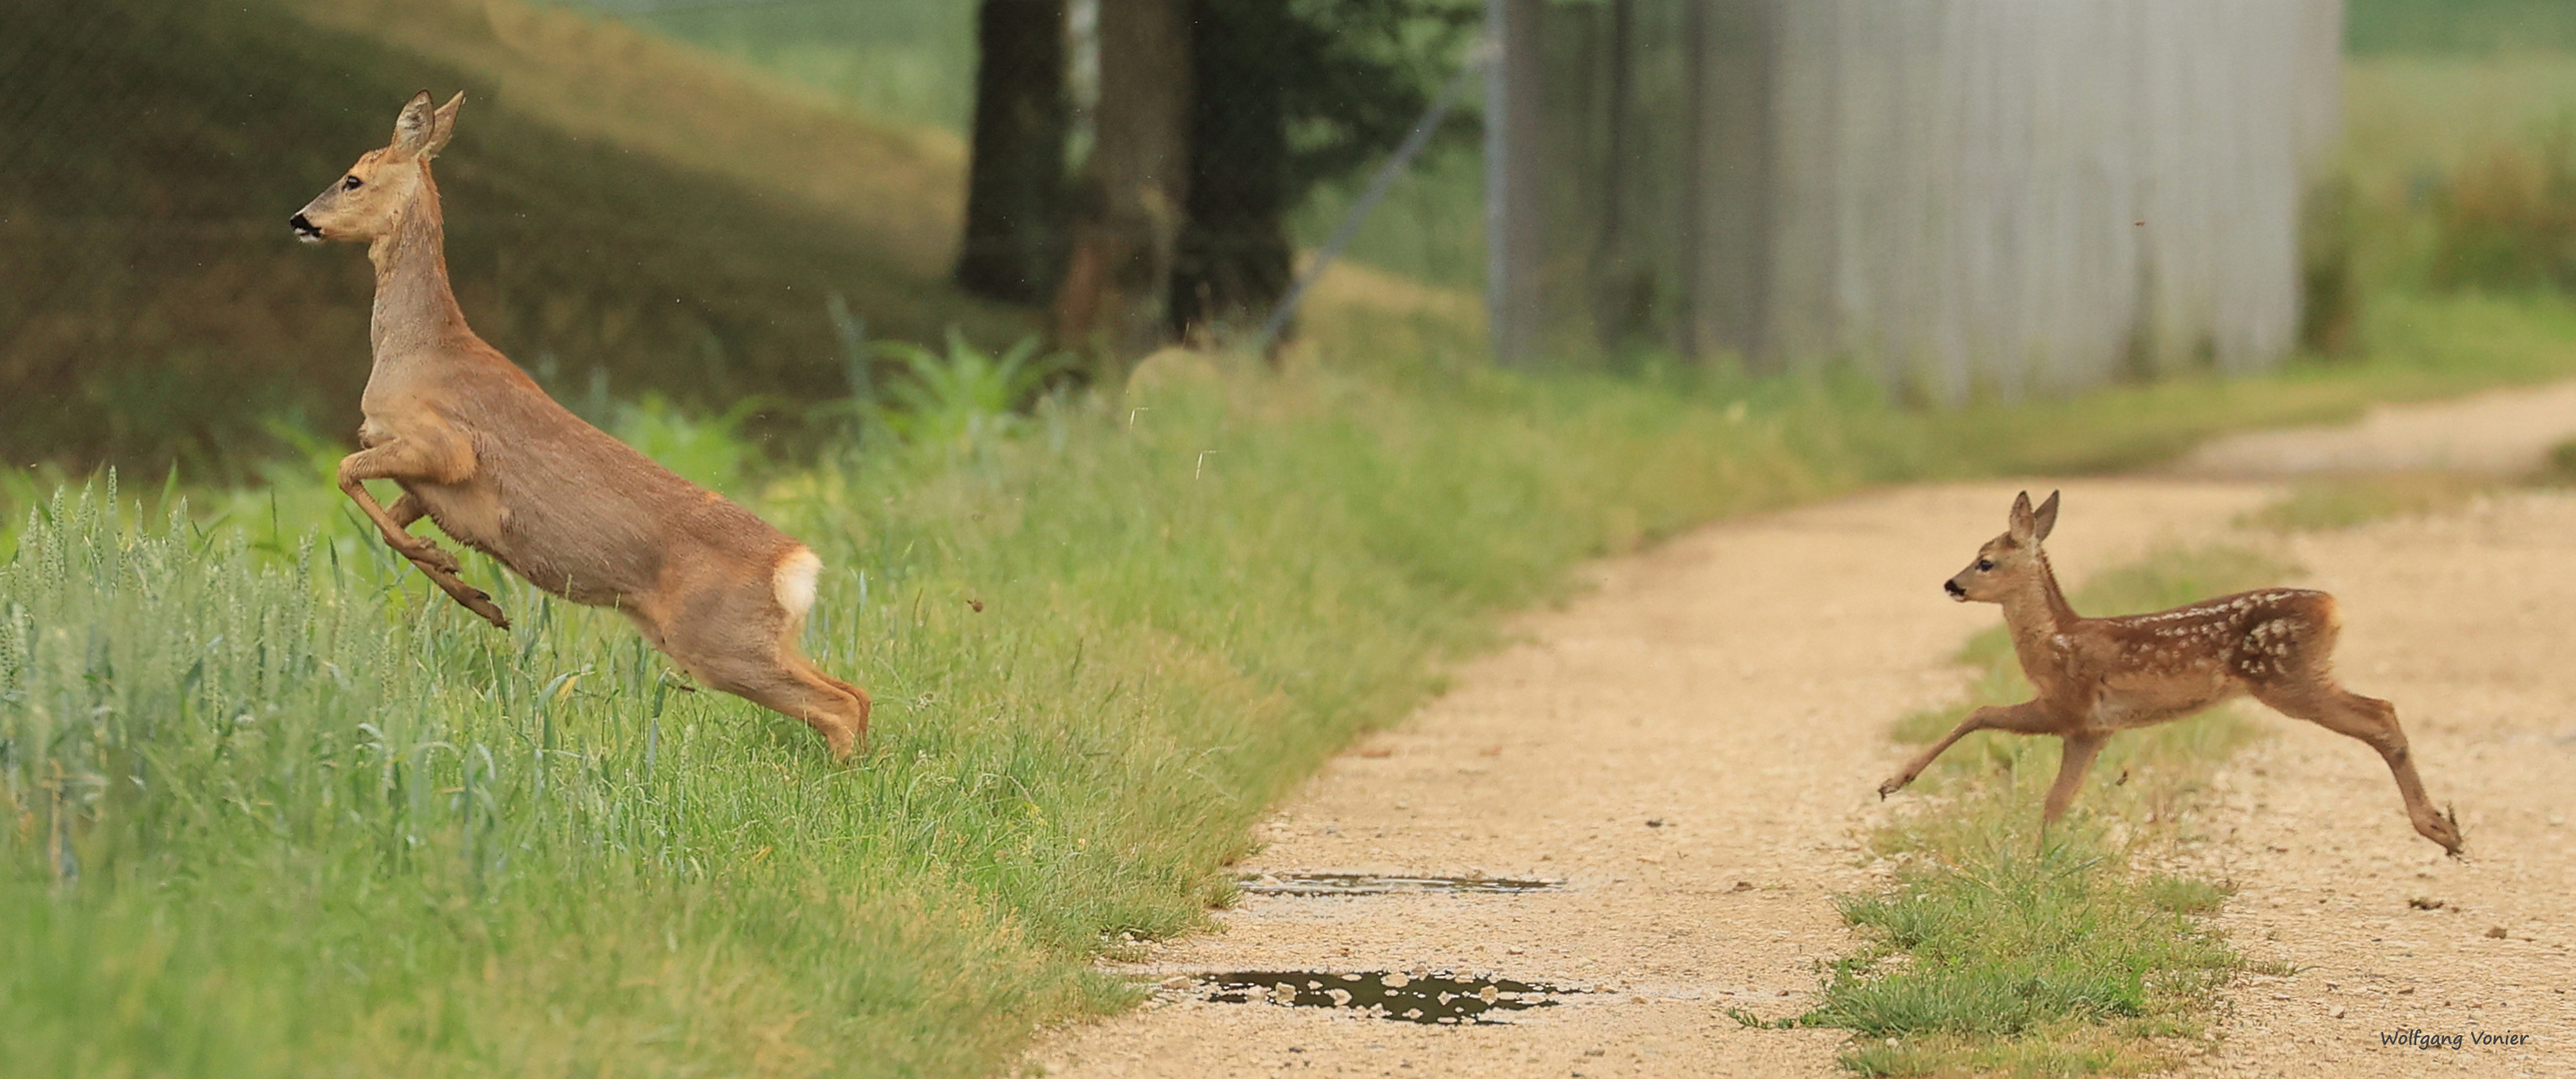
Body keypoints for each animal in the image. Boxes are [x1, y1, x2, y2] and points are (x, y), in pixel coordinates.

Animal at [295, 97, 865, 761]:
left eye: (352, 179)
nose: (300, 219)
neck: (417, 346)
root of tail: (797, 567)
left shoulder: (447, 448)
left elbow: (347, 475)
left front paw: (462, 581)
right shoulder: (429, 487)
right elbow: (389, 522)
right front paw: (472, 593)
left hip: (719, 641)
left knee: (839, 705)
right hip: (751, 640)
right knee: (855, 692)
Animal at [1886, 494, 2462, 859]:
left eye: (1985, 561)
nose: (1951, 584)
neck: (2054, 641)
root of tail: (2331, 605)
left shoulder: (2068, 704)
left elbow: (1981, 713)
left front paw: (1895, 781)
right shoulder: (2093, 730)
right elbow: (2056, 800)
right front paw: (2039, 865)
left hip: (2289, 680)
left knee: (2380, 714)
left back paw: (2439, 828)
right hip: (2299, 678)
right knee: (2384, 711)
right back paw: (2447, 829)